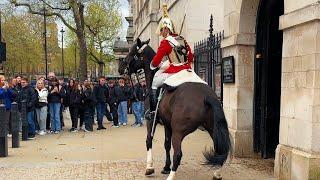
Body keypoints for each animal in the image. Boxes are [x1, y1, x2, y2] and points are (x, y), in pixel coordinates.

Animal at [117, 38, 230, 179]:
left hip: (179, 131)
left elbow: (149, 141)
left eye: (132, 52)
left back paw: (171, 176)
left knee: (178, 153)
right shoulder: (167, 124)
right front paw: (166, 167)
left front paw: (150, 167)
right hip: (211, 127)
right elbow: (166, 144)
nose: (120, 68)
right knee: (220, 150)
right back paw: (217, 173)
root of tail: (207, 96)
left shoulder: (151, 121)